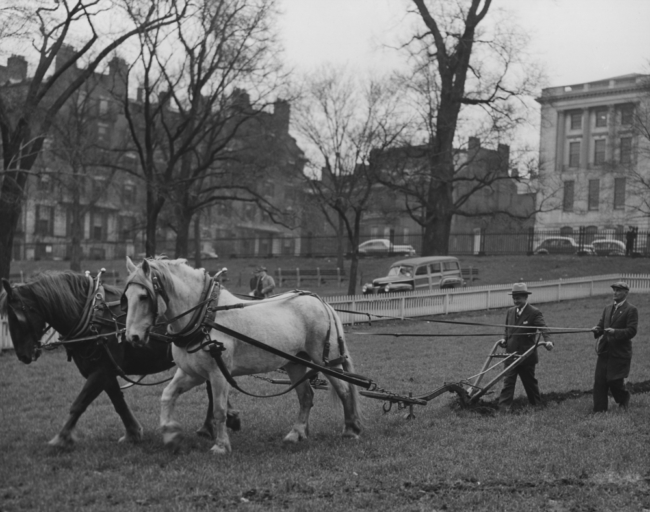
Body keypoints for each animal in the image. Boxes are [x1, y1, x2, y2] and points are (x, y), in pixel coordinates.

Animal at [1, 270, 239, 446]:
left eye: (16, 317)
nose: (23, 355)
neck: (92, 316)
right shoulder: (104, 371)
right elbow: (118, 402)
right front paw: (133, 432)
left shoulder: (101, 371)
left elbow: (79, 403)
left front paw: (61, 437)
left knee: (212, 390)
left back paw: (210, 426)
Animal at [124, 258, 362, 454]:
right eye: (126, 297)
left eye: (144, 296)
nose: (132, 337)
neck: (205, 317)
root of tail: (322, 303)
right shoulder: (192, 373)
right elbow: (167, 395)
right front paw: (170, 434)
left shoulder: (218, 373)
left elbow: (219, 409)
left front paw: (221, 446)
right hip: (295, 363)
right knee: (306, 396)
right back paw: (296, 433)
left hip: (325, 361)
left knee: (344, 389)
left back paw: (350, 429)